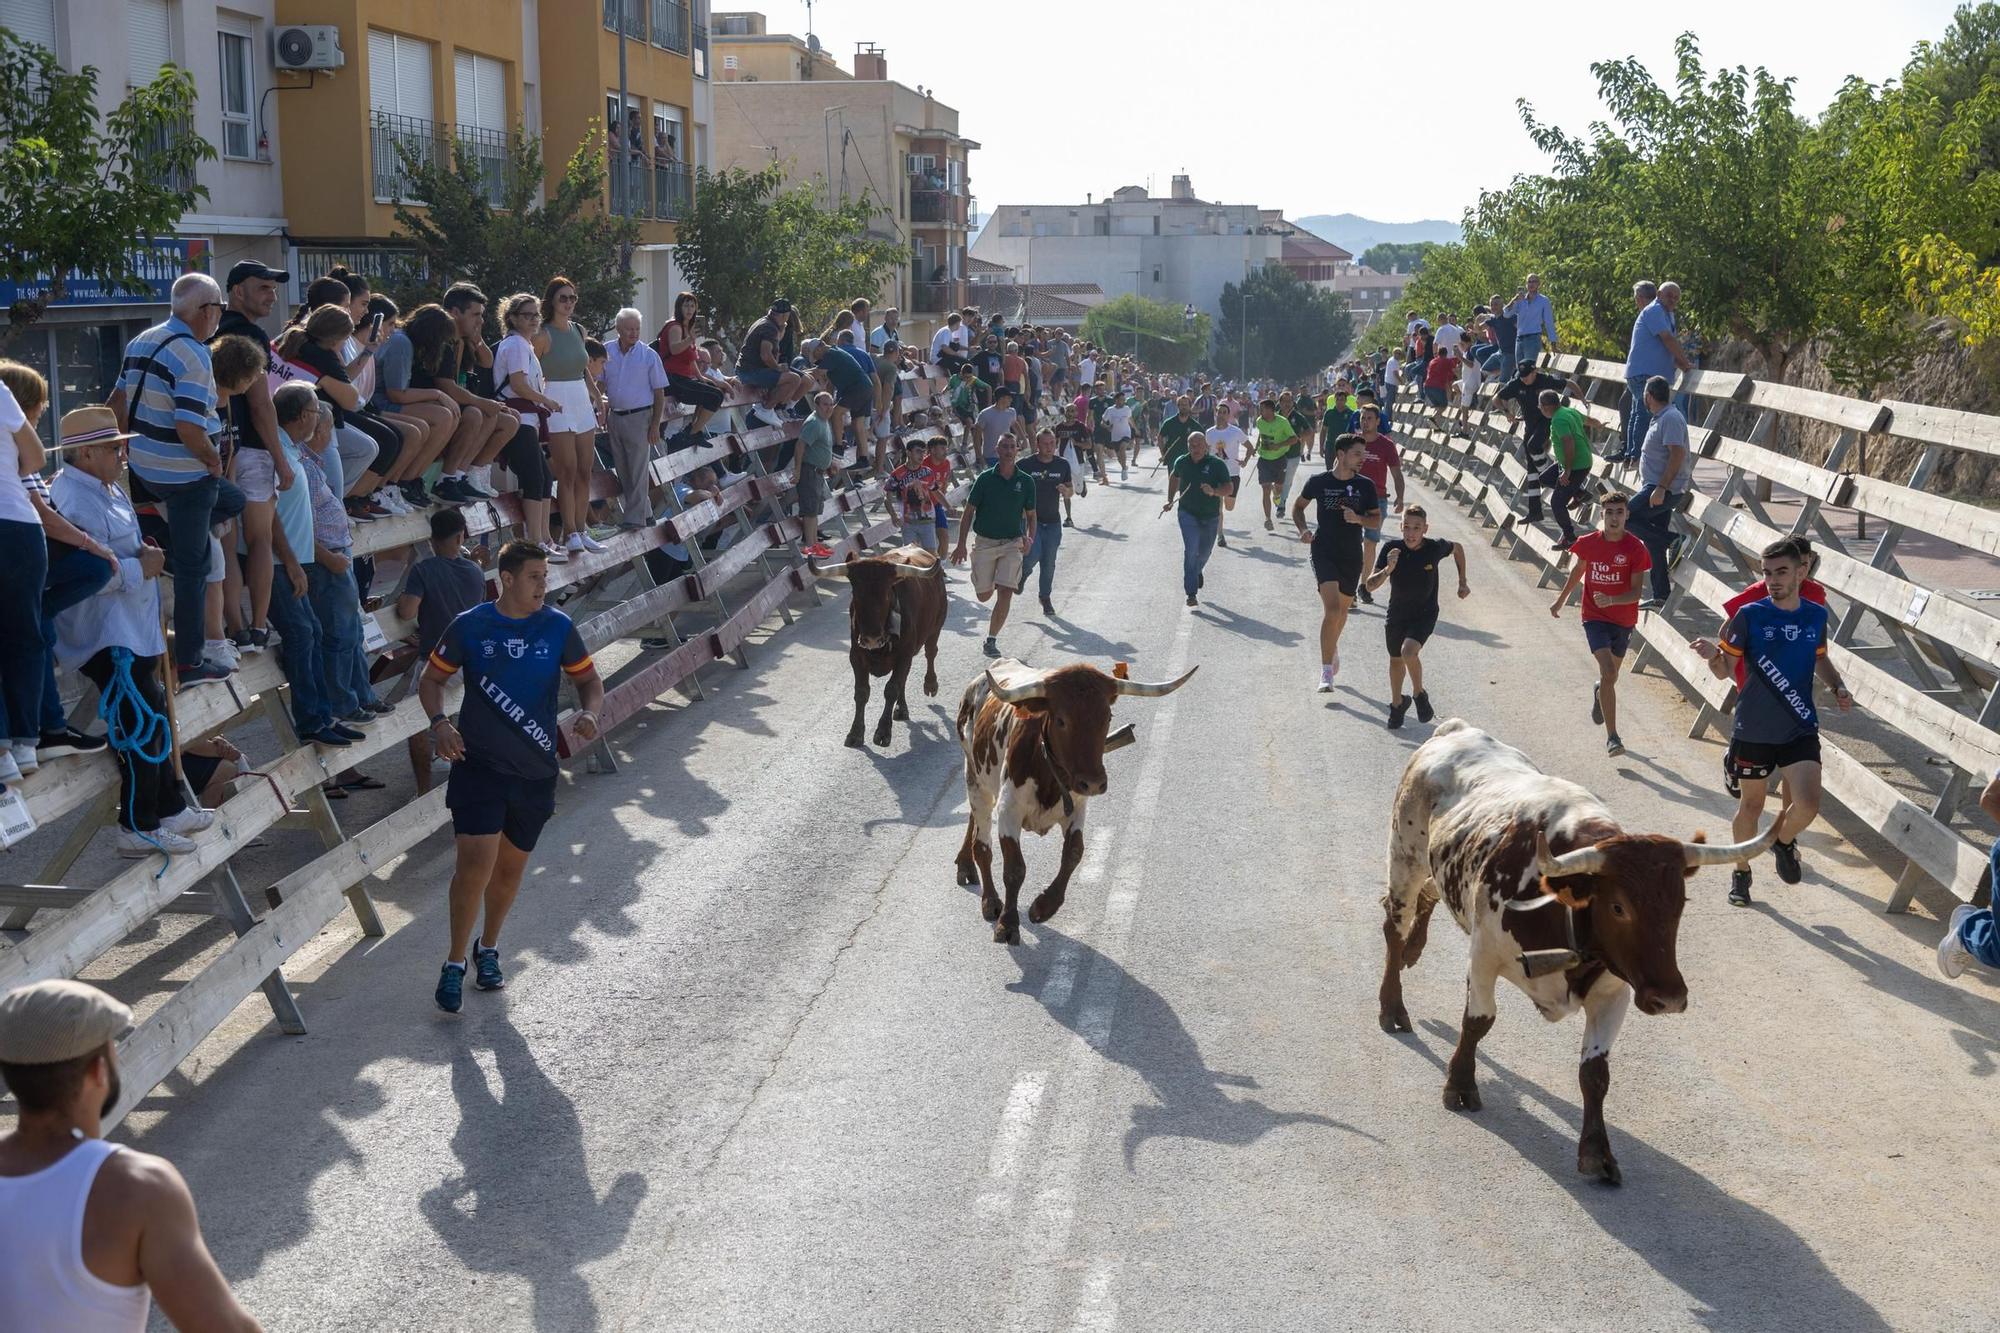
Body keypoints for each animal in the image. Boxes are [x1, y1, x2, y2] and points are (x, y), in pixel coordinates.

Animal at [948, 652, 1184, 944]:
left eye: (1108, 717)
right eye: (1061, 720)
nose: (1093, 782)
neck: (1047, 768)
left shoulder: (1077, 807)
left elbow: (1073, 854)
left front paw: (1044, 906)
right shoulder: (1008, 811)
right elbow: (1014, 869)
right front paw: (1007, 923)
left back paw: (965, 865)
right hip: (974, 777)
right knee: (981, 842)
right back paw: (989, 898)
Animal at [1376, 720, 1784, 1176]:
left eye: (1681, 903)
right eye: (1619, 907)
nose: (1669, 997)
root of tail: (1455, 731)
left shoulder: (1616, 990)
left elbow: (1595, 1073)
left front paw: (1596, 1150)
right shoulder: (1483, 958)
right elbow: (1478, 1022)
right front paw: (1461, 1085)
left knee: (1429, 898)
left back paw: (1414, 951)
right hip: (1405, 855)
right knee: (1394, 926)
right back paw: (1393, 1005)